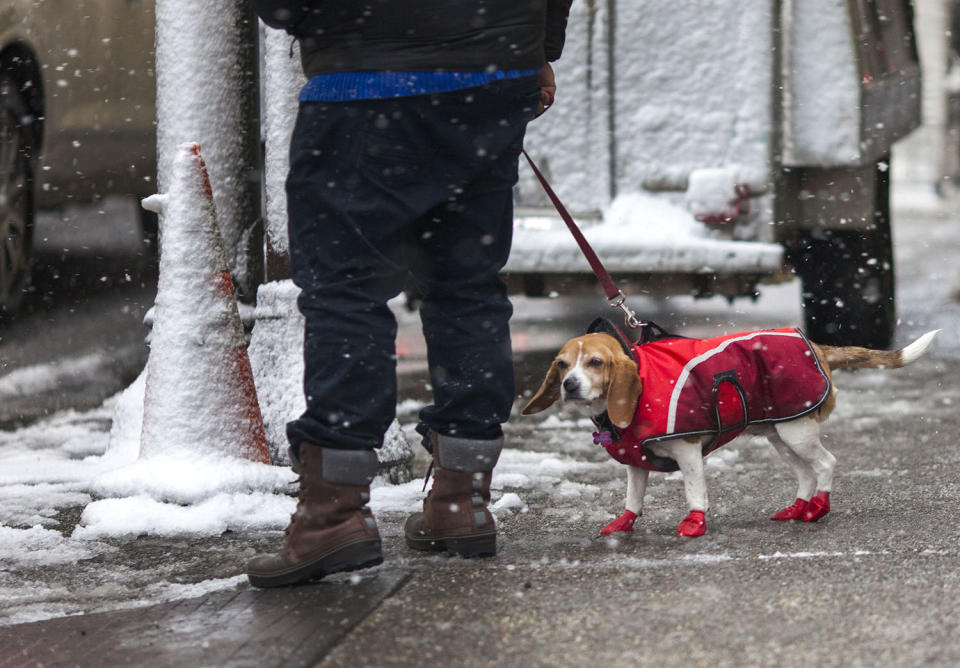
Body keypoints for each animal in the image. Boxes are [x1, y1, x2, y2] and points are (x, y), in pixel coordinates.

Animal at [520, 328, 940, 536]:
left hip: (798, 433)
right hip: (780, 436)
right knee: (805, 473)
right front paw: (624, 523)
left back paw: (817, 507)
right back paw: (798, 507)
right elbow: (632, 497)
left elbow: (695, 492)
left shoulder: (688, 452)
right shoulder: (636, 464)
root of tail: (818, 346)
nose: (570, 385)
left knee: (826, 464)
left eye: (594, 362)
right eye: (562, 364)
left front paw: (694, 523)